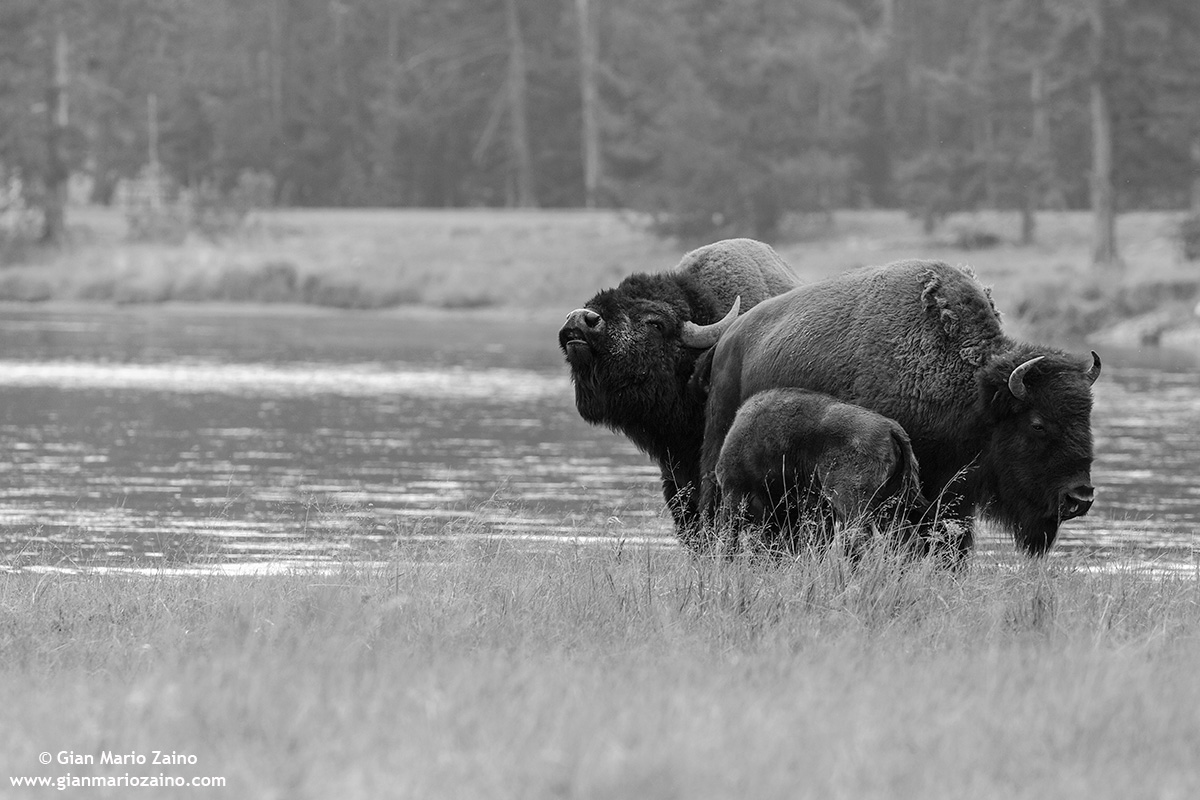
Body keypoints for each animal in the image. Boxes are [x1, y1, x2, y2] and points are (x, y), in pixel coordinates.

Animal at [716, 387, 926, 555]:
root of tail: (891, 428)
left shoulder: (734, 495)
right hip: (890, 507)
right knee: (908, 540)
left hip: (852, 505)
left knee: (864, 540)